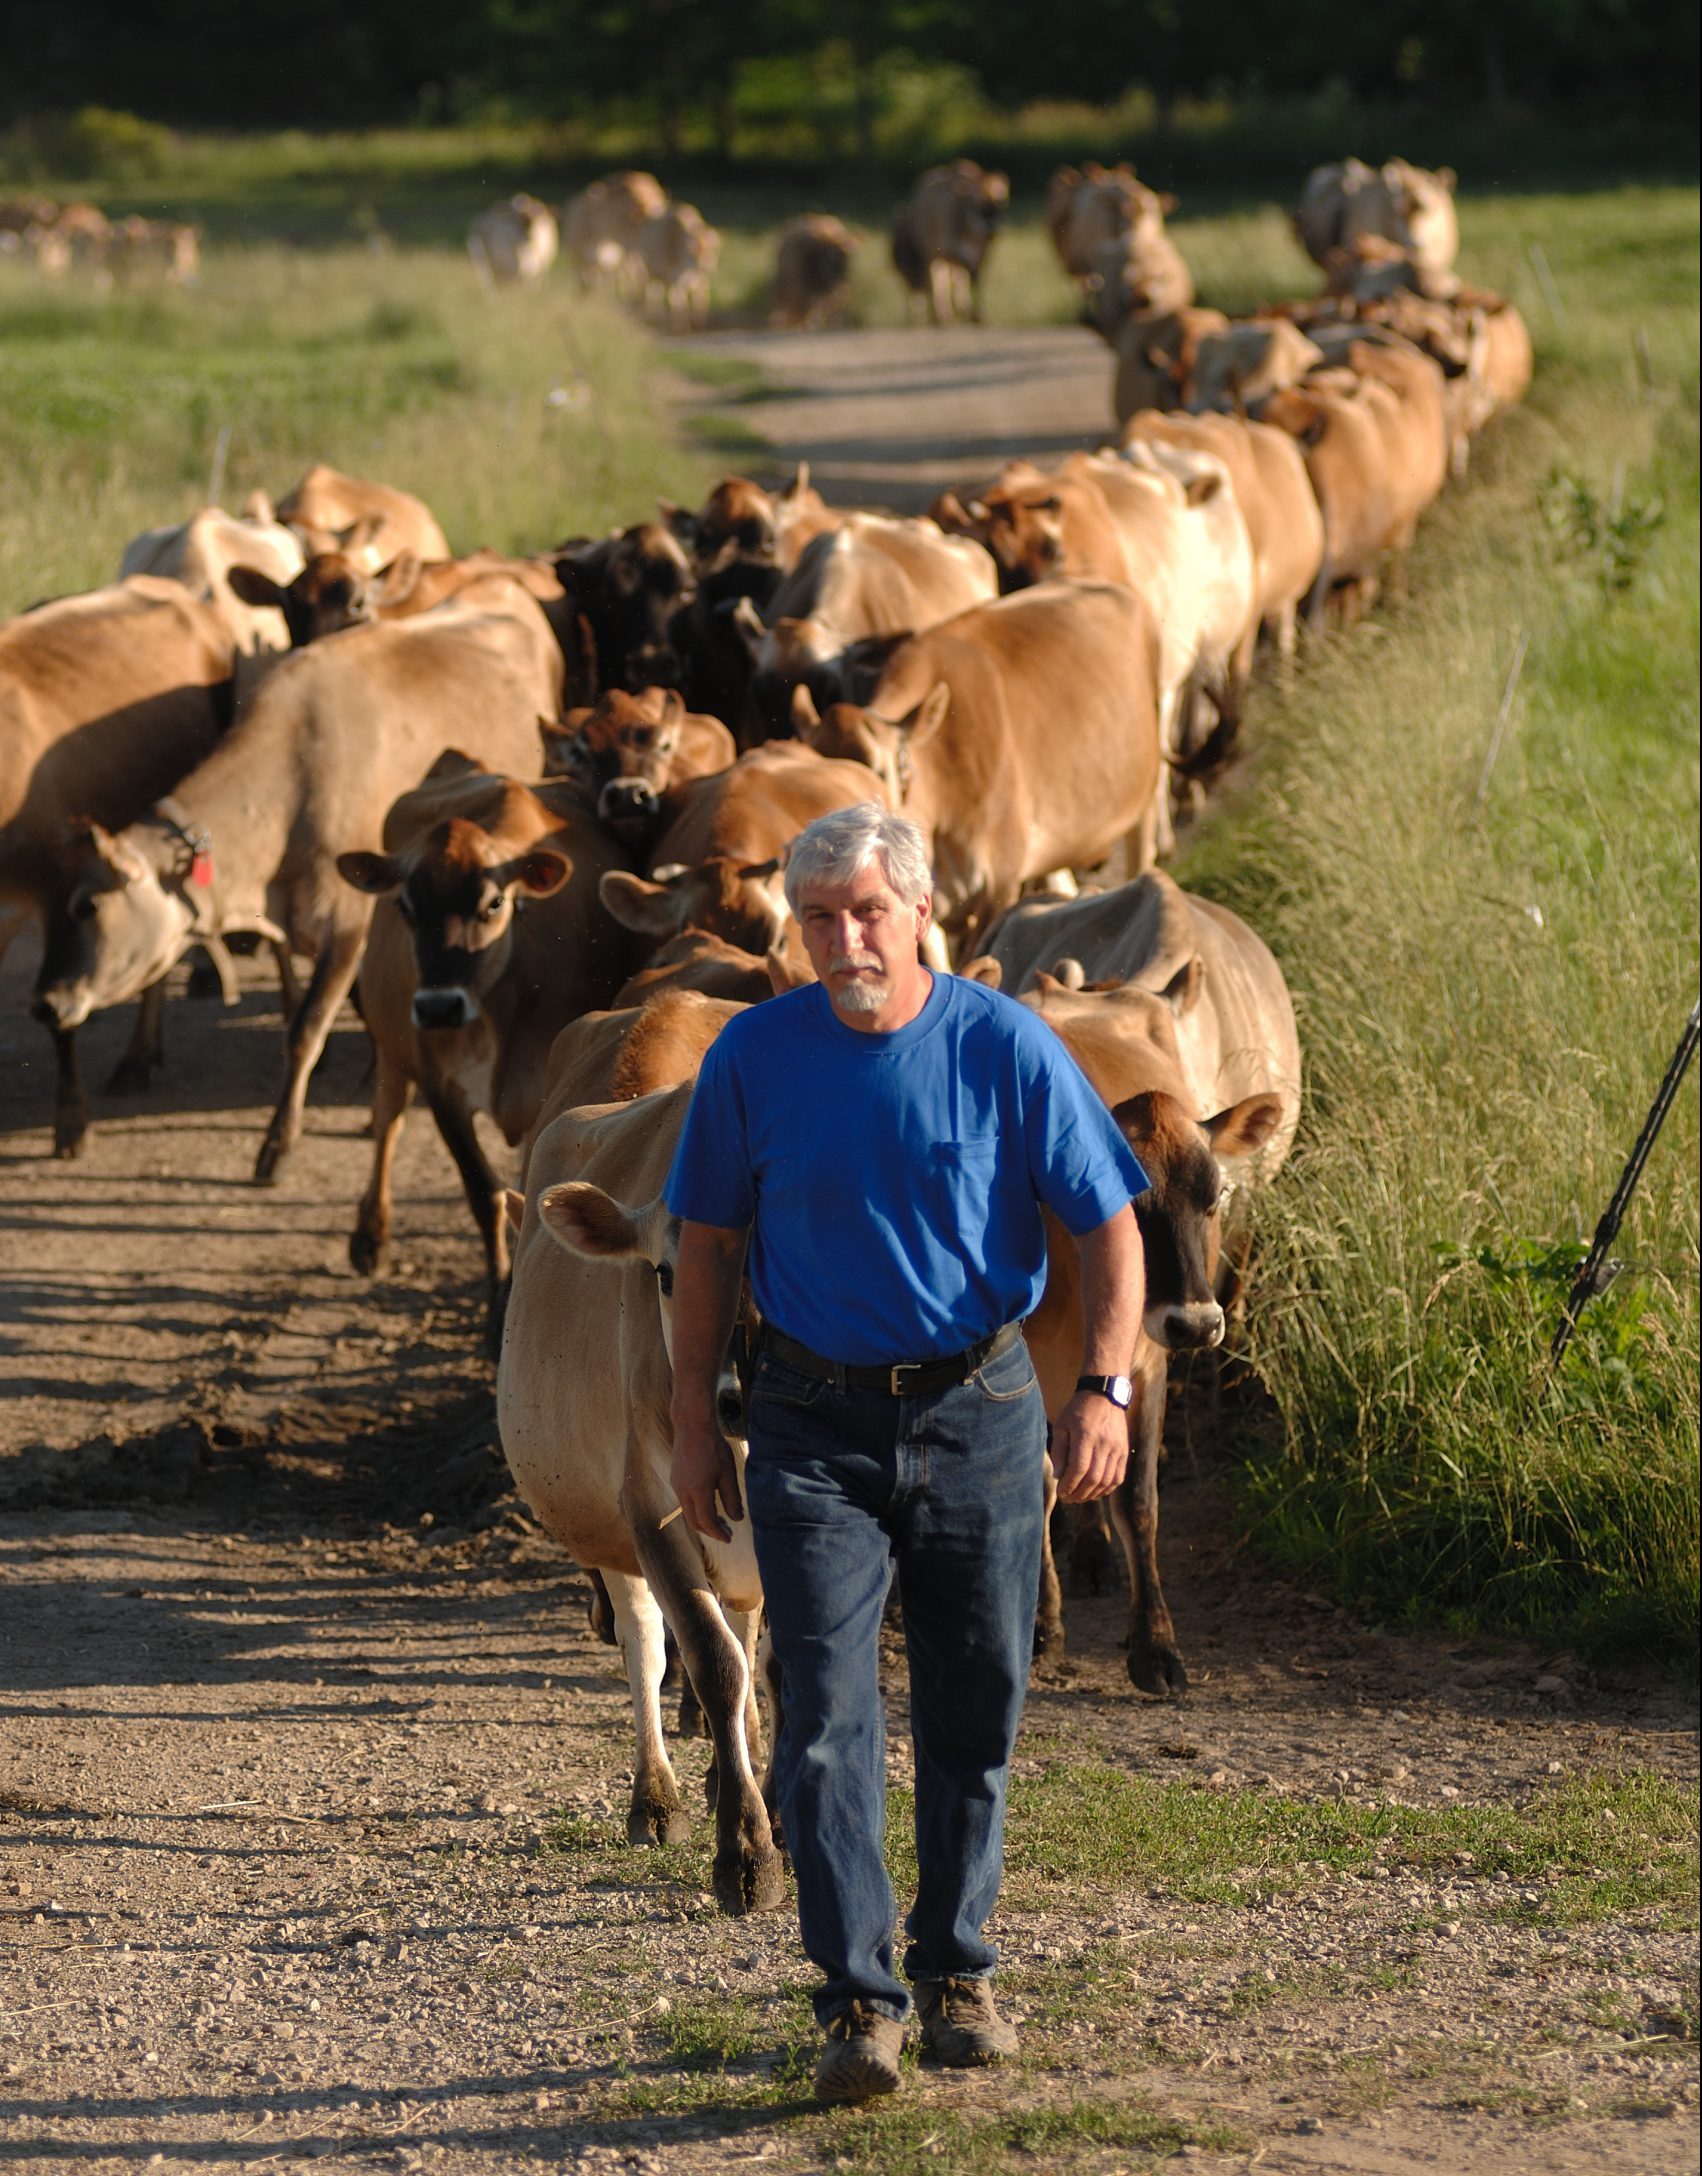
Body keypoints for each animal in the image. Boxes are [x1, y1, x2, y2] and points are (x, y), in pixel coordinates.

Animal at [496, 1074, 783, 1923]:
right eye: (665, 1273)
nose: (736, 1398)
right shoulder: (650, 1508)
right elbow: (712, 1660)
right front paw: (745, 1853)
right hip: (611, 1528)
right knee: (650, 1644)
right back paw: (658, 1797)